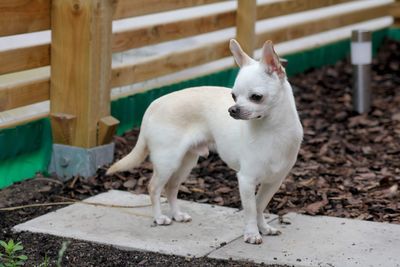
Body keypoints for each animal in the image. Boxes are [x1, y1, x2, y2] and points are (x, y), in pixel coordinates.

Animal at [107, 39, 304, 245]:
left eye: (256, 97)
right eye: (233, 96)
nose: (232, 109)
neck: (272, 130)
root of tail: (153, 105)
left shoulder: (273, 182)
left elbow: (259, 205)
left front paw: (264, 228)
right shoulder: (246, 180)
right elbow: (250, 209)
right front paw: (252, 233)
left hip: (186, 162)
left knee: (171, 187)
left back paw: (177, 215)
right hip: (168, 161)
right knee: (154, 187)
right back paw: (160, 217)